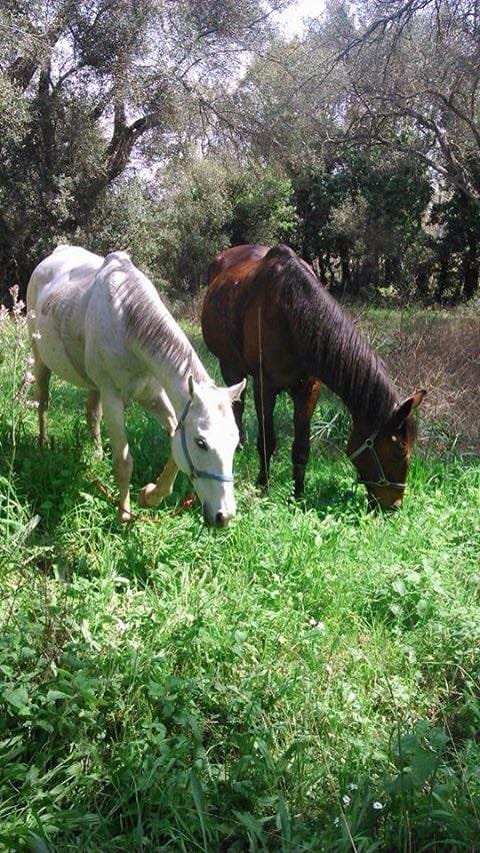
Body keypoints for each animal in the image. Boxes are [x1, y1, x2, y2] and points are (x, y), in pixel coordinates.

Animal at [27, 245, 245, 526]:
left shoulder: (154, 396)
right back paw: (43, 445)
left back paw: (97, 453)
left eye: (235, 443)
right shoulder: (113, 398)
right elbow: (123, 461)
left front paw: (149, 495)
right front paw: (124, 513)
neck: (127, 323)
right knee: (43, 403)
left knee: (91, 413)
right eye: (200, 443)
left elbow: (174, 446)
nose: (224, 516)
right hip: (40, 360)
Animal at [202, 244, 426, 509]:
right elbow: (267, 440)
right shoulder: (265, 388)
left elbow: (301, 447)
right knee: (237, 402)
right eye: (398, 452)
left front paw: (298, 494)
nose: (394, 506)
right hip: (230, 365)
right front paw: (263, 485)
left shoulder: (309, 389)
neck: (289, 312)